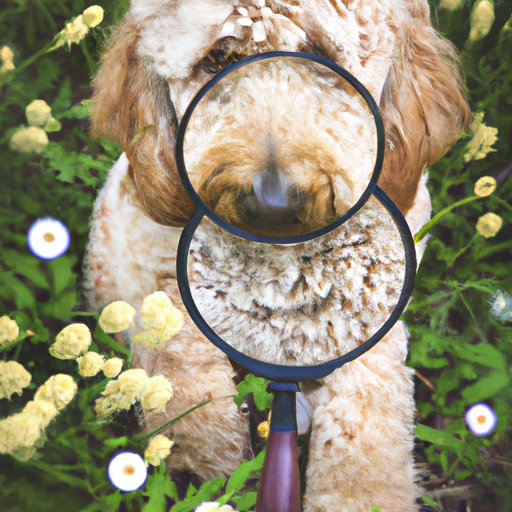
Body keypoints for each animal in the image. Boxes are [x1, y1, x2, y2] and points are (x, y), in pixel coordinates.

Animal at [83, 2, 468, 510]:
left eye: (322, 56)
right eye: (218, 58)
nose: (272, 205)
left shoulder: (373, 325)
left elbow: (366, 437)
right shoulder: (163, 283)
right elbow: (186, 368)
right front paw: (209, 467)